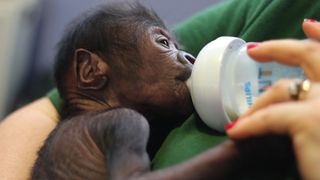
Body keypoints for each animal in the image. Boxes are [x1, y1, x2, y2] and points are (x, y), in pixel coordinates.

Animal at [31, 1, 296, 180]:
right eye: (164, 43)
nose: (190, 57)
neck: (93, 107)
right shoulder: (126, 121)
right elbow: (133, 176)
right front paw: (263, 142)